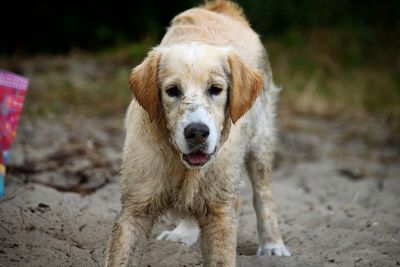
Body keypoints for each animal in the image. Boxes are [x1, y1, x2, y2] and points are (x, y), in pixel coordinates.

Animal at [106, 1, 290, 266]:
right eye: (172, 90)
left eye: (216, 89)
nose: (197, 133)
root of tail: (220, 9)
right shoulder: (134, 207)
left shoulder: (221, 214)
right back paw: (183, 234)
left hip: (260, 141)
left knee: (264, 196)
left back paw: (273, 245)